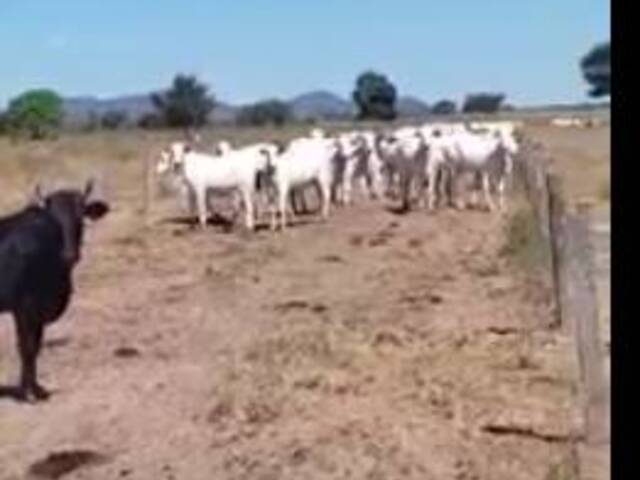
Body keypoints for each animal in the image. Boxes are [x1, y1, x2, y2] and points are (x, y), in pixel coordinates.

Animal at [0, 180, 109, 402]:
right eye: (52, 220)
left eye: (81, 216)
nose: (70, 254)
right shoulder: (24, 307)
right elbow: (27, 346)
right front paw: (26, 392)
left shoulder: (38, 311)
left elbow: (36, 345)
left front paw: (37, 388)